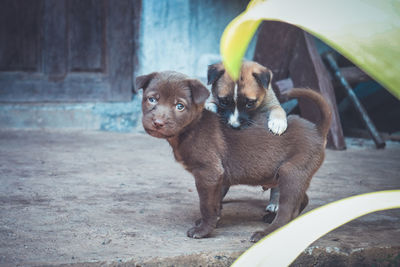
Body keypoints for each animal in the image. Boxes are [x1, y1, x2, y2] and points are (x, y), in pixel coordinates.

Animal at [137, 71, 332, 243]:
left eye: (180, 106)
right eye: (152, 99)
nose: (158, 123)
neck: (191, 128)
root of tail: (317, 129)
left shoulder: (209, 173)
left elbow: (206, 205)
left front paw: (203, 231)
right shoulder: (217, 178)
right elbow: (216, 204)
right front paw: (211, 222)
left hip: (291, 173)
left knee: (287, 210)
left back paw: (266, 233)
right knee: (302, 200)